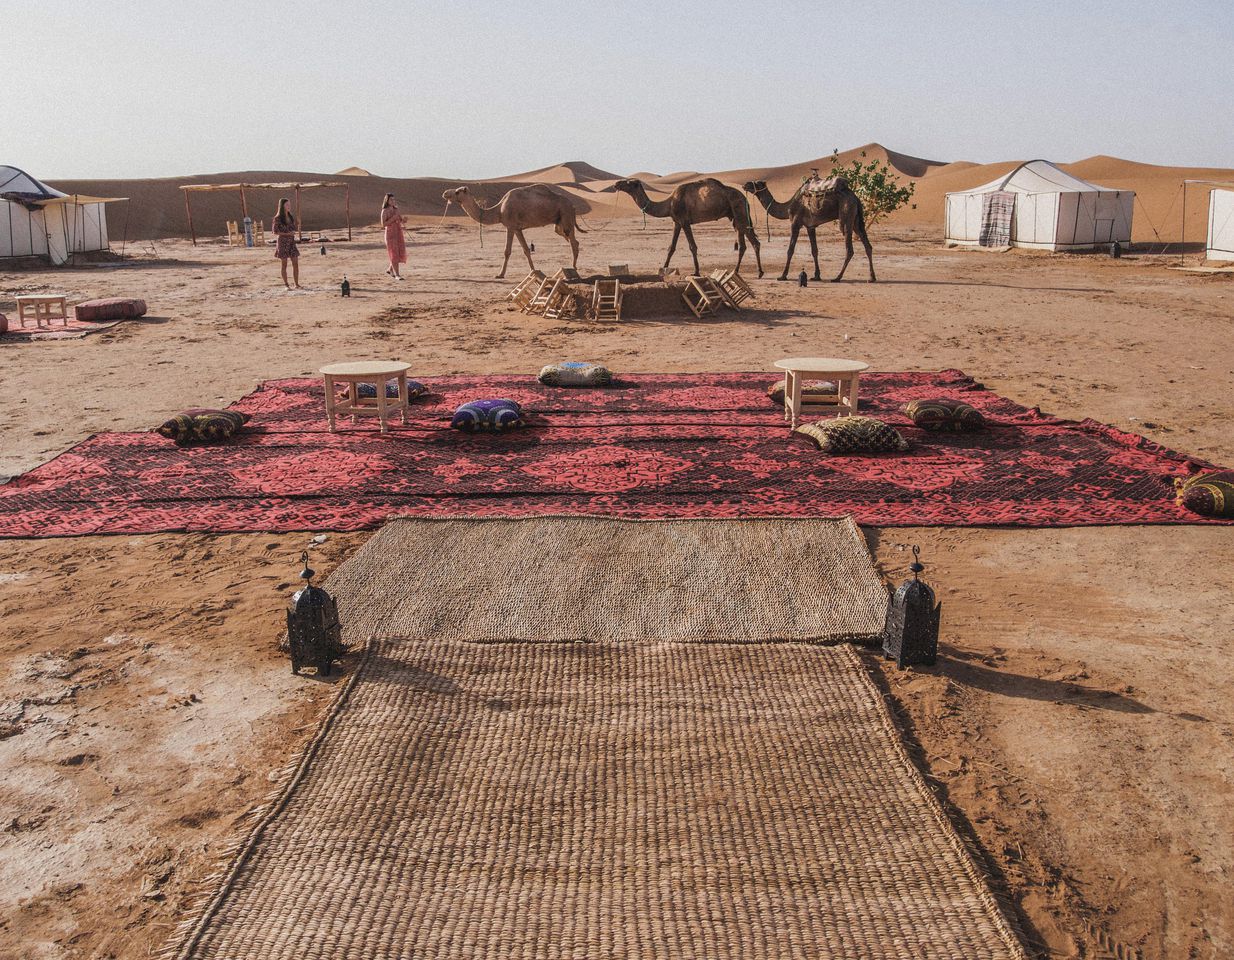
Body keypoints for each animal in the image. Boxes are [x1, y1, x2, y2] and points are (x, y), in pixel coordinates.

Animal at [441, 182, 584, 276]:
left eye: (457, 192)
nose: (445, 193)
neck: (499, 211)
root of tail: (573, 205)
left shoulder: (510, 226)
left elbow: (507, 251)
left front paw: (500, 274)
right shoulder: (517, 228)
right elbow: (526, 249)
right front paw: (533, 271)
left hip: (566, 215)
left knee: (573, 241)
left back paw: (574, 266)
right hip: (558, 223)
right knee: (569, 238)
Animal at [609, 176, 760, 276]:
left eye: (628, 182)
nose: (616, 183)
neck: (668, 204)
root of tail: (744, 198)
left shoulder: (684, 221)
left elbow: (692, 246)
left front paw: (696, 272)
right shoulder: (677, 222)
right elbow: (671, 247)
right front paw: (663, 268)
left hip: (739, 212)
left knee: (747, 243)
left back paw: (742, 271)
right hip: (735, 216)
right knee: (750, 243)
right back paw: (753, 272)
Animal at [740, 177, 878, 280]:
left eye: (757, 183)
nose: (745, 184)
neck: (788, 207)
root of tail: (855, 197)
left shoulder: (795, 223)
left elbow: (790, 250)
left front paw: (783, 275)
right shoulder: (810, 227)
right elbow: (814, 250)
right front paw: (816, 276)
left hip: (847, 215)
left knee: (849, 249)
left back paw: (838, 277)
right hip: (856, 220)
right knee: (868, 246)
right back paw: (871, 277)